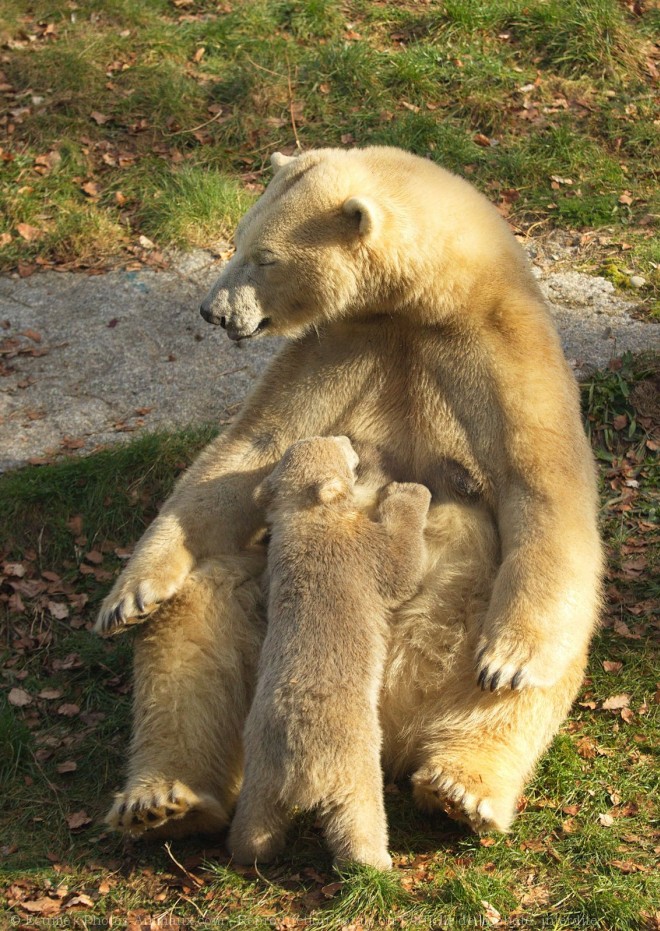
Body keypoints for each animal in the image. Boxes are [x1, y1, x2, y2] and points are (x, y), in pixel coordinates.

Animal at [96, 146, 604, 836]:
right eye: (238, 238)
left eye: (265, 256)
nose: (212, 312)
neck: (423, 304)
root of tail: (383, 723)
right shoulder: (341, 346)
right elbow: (251, 450)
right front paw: (128, 597)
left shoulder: (500, 351)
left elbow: (544, 486)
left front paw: (508, 661)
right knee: (198, 617)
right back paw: (165, 800)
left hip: (462, 637)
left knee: (539, 666)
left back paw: (461, 787)